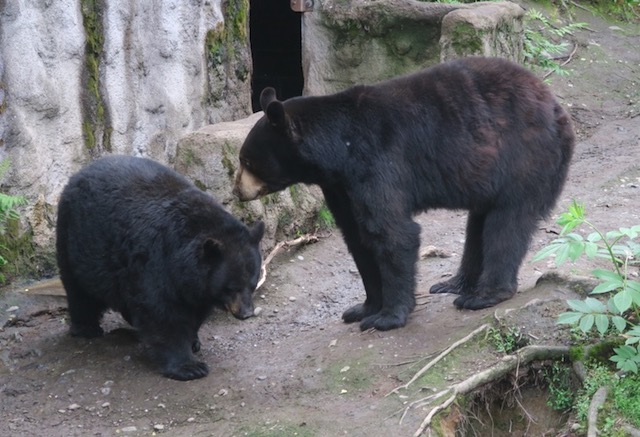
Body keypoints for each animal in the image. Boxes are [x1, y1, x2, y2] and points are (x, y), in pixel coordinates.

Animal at [56, 156, 264, 378]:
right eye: (231, 287)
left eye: (253, 284)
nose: (246, 313)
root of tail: (80, 173)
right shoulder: (154, 260)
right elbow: (160, 311)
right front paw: (189, 366)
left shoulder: (197, 284)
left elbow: (195, 309)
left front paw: (193, 341)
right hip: (75, 238)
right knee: (80, 291)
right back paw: (87, 328)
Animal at [234, 57, 576, 330]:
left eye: (248, 161)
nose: (237, 191)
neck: (339, 149)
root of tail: (558, 108)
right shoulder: (340, 186)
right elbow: (356, 237)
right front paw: (362, 308)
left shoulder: (377, 163)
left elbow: (392, 233)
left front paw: (387, 317)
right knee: (478, 225)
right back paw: (455, 283)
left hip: (524, 159)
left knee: (506, 223)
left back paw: (484, 295)